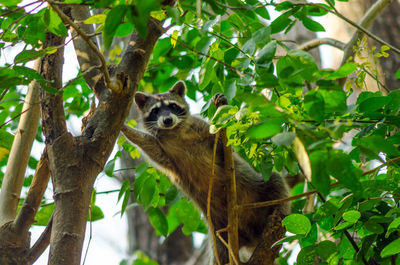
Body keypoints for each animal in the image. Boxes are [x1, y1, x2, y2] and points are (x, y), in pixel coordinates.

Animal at [120, 81, 290, 264]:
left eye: (173, 106)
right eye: (155, 110)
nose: (167, 119)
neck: (174, 131)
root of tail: (252, 238)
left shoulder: (200, 127)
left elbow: (222, 142)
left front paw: (219, 113)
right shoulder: (164, 153)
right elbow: (149, 146)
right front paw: (125, 129)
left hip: (258, 193)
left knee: (276, 181)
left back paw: (278, 214)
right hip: (219, 236)